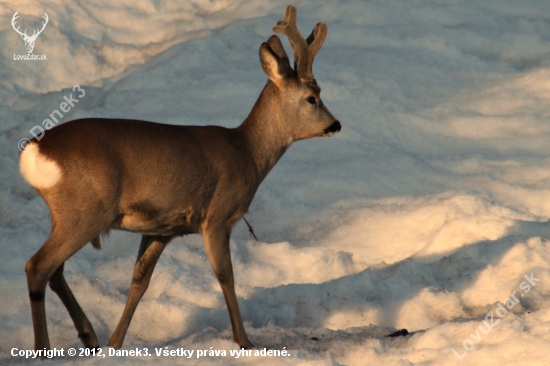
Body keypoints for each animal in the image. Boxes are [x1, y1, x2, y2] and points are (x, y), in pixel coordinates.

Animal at [20, 4, 340, 350]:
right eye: (313, 98)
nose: (335, 124)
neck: (247, 153)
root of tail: (33, 151)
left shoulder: (161, 229)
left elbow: (139, 281)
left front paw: (115, 344)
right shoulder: (217, 217)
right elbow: (226, 276)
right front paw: (244, 341)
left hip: (69, 214)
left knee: (55, 270)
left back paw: (90, 336)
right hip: (87, 210)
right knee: (38, 266)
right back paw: (44, 347)